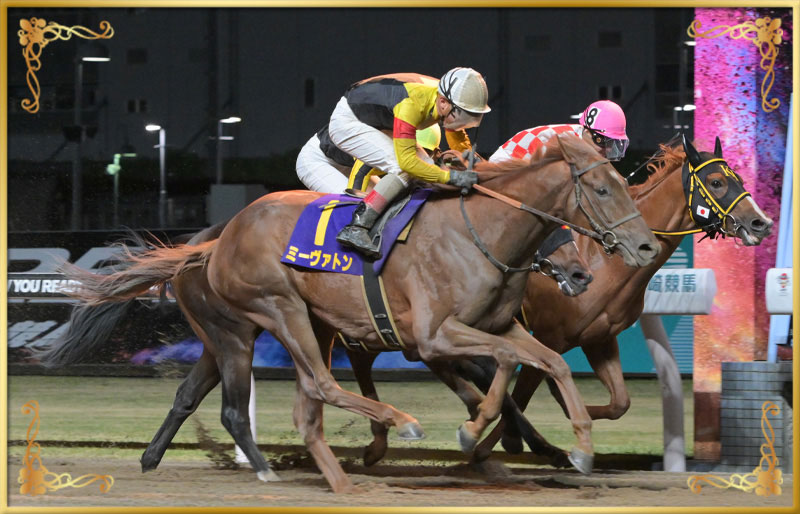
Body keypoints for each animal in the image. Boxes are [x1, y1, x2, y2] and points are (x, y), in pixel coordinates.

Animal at [54, 133, 659, 492]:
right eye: (602, 188)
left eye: (626, 183)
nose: (646, 247)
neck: (480, 232)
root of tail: (218, 239)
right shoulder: (434, 337)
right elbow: (507, 369)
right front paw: (475, 436)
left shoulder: (497, 326)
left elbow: (546, 363)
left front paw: (578, 449)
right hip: (277, 312)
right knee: (315, 387)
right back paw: (387, 430)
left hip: (255, 330)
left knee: (239, 398)